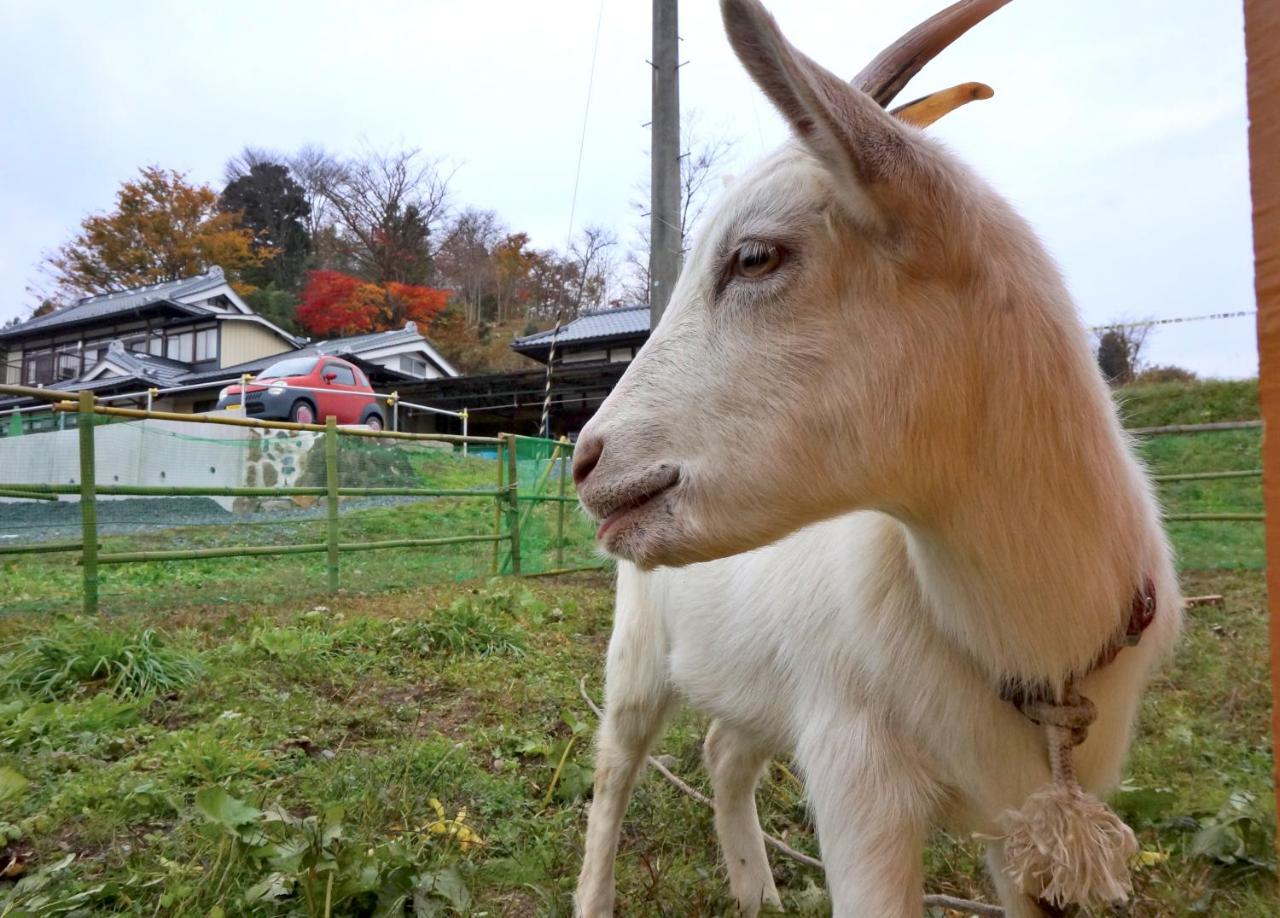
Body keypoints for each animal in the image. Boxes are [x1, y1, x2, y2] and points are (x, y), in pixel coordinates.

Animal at [570, 1, 1177, 916]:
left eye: (755, 255)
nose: (586, 461)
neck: (1030, 638)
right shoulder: (860, 780)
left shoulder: (1027, 818)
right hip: (638, 653)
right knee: (614, 773)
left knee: (724, 752)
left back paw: (758, 890)